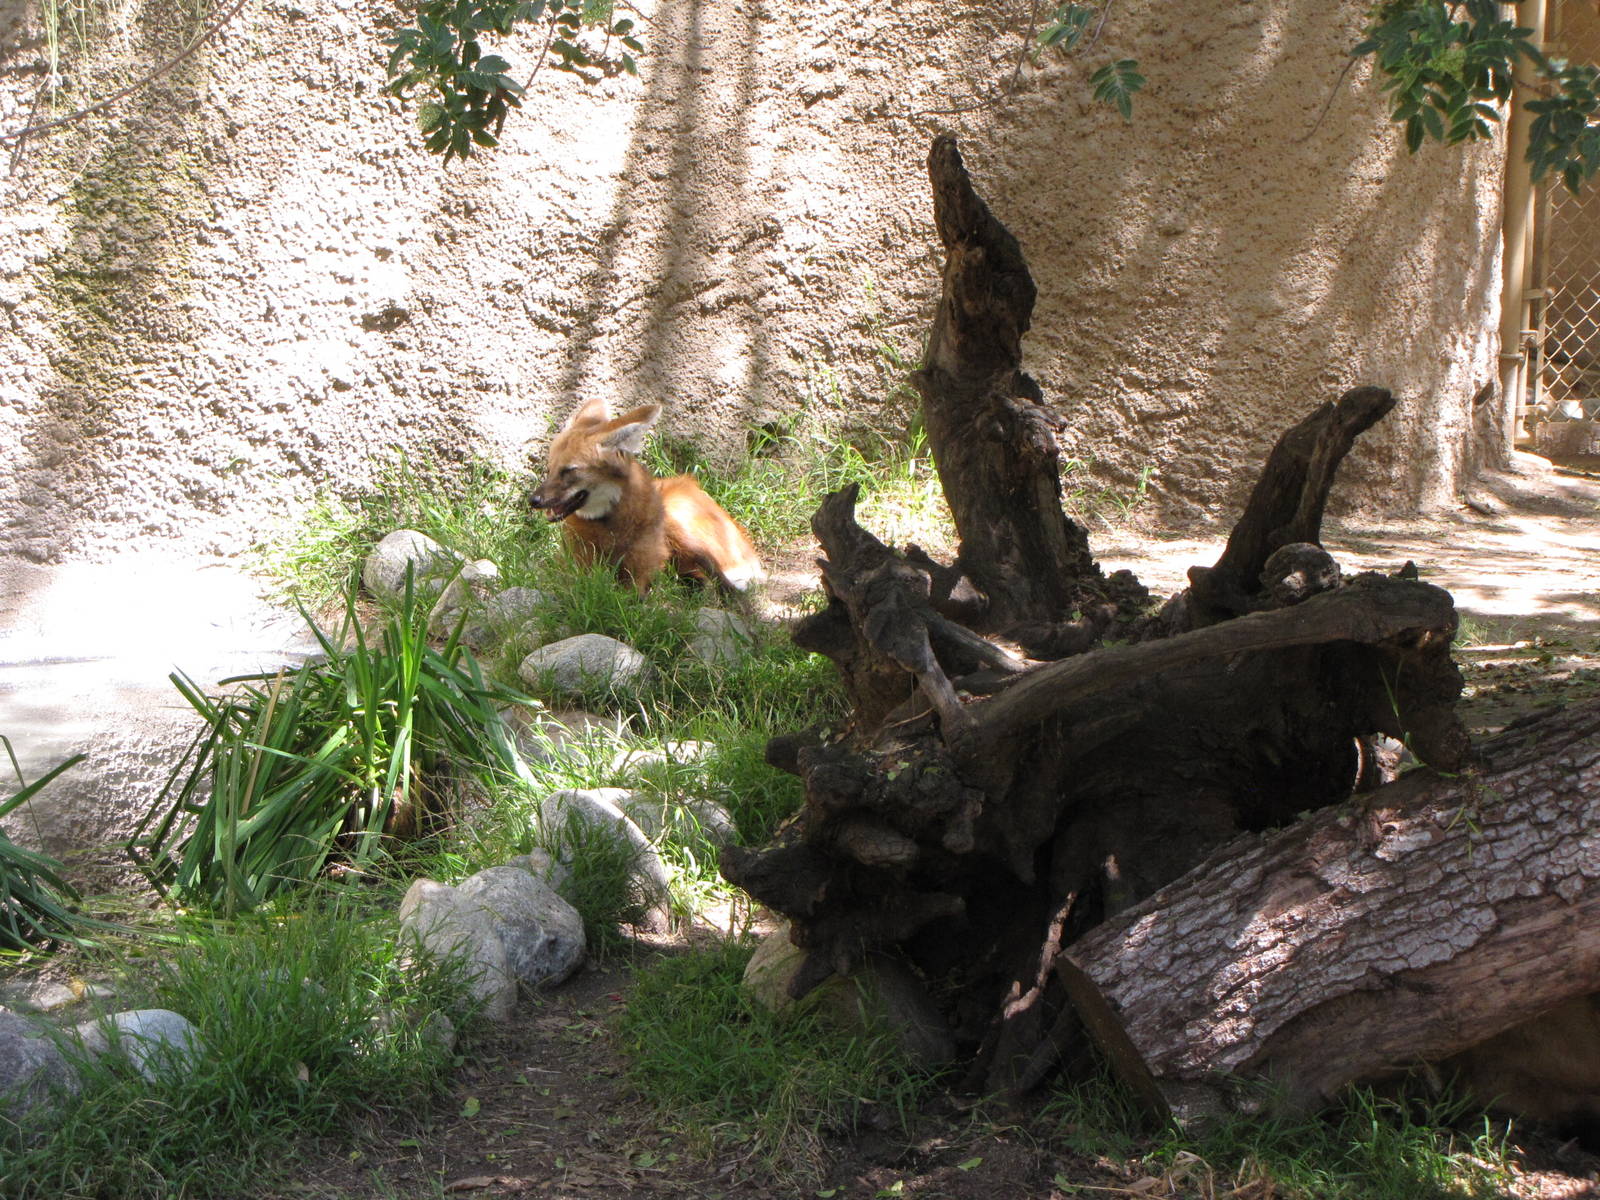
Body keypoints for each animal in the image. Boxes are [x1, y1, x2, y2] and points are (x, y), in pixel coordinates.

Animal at [530, 397, 764, 594]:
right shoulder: (575, 566)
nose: (534, 501)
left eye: (569, 471)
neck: (610, 528)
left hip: (675, 518)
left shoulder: (640, 569)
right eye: (550, 469)